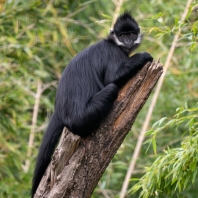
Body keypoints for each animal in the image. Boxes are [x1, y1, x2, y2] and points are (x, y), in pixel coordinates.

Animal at [31, 12, 152, 196]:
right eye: (122, 35)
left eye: (131, 34)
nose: (128, 41)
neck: (113, 43)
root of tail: (59, 110)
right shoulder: (112, 52)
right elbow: (112, 79)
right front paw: (144, 56)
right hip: (82, 118)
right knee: (111, 88)